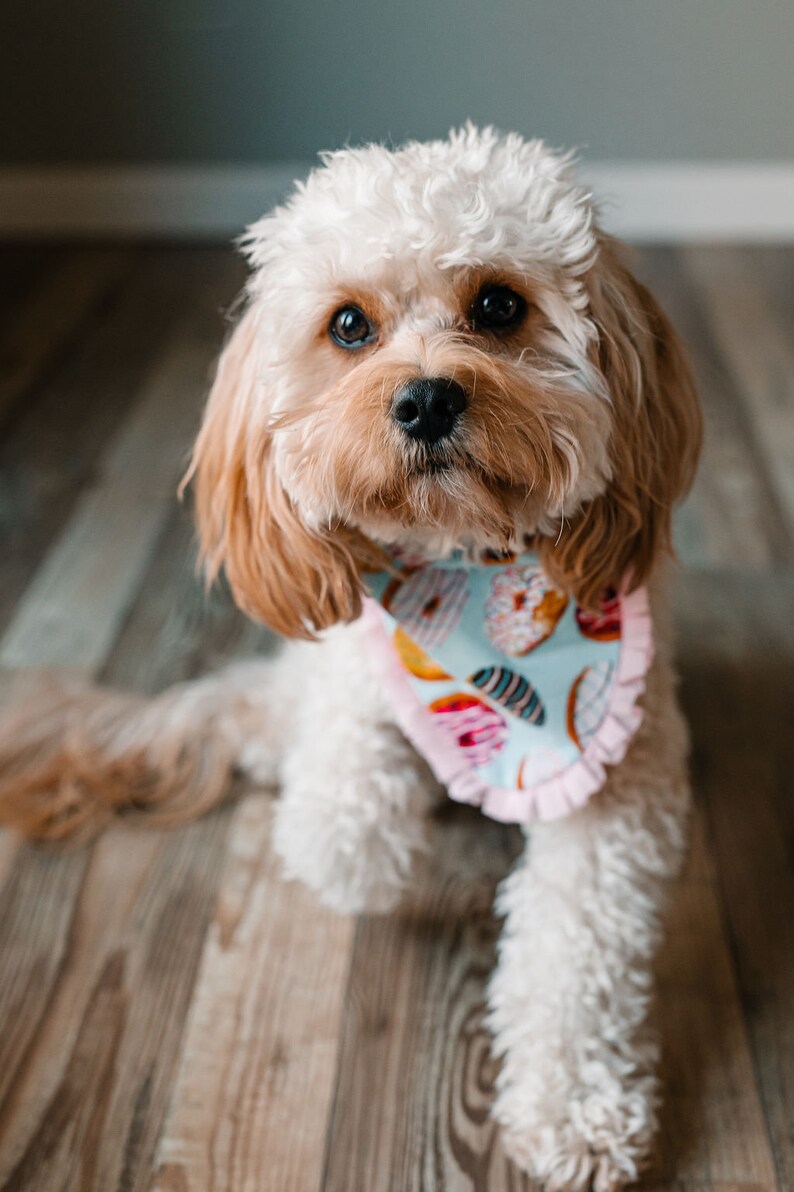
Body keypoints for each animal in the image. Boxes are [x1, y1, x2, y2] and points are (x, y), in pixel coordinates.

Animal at [1, 125, 701, 1187]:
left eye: (499, 305)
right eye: (348, 326)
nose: (425, 400)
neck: (466, 566)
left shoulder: (624, 783)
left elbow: (578, 950)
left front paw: (577, 1112)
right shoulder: (356, 679)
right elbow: (347, 828)